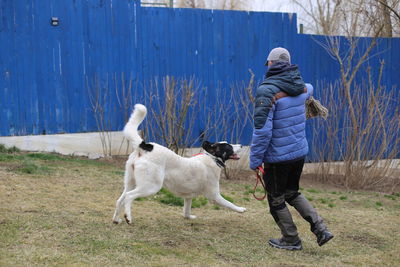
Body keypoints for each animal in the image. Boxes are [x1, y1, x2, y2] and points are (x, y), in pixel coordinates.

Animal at [111, 103, 245, 225]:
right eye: (229, 147)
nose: (241, 145)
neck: (212, 158)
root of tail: (144, 146)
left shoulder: (188, 196)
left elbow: (186, 211)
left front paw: (189, 217)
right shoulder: (214, 196)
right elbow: (229, 204)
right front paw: (241, 209)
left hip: (131, 182)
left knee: (120, 199)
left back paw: (116, 219)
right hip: (151, 186)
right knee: (129, 196)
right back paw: (128, 217)